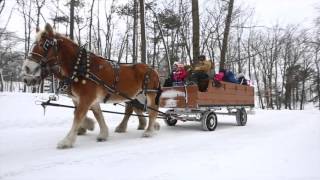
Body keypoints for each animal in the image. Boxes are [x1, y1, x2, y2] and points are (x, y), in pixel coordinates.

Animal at [21, 23, 161, 148]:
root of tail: (153, 70)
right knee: (139, 109)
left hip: (150, 93)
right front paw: (101, 132)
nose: (26, 69)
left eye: (43, 45)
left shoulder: (86, 98)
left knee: (152, 110)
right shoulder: (87, 99)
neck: (80, 67)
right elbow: (97, 115)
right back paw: (144, 126)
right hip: (138, 96)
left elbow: (78, 115)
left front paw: (67, 141)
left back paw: (148, 131)